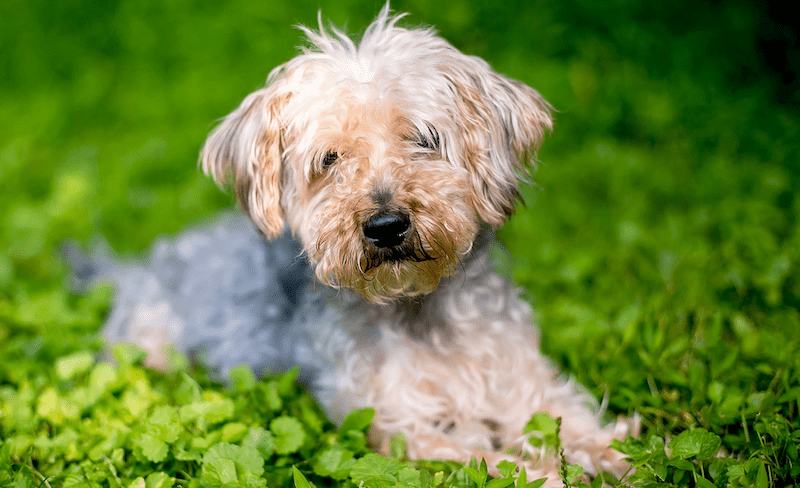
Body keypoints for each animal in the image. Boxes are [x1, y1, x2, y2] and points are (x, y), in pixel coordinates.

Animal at [78, 5, 636, 486]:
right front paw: (547, 474)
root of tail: (135, 267)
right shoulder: (397, 428)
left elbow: (573, 422)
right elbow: (485, 459)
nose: (386, 226)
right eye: (330, 159)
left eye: (424, 138)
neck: (417, 309)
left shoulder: (524, 382)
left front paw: (618, 458)